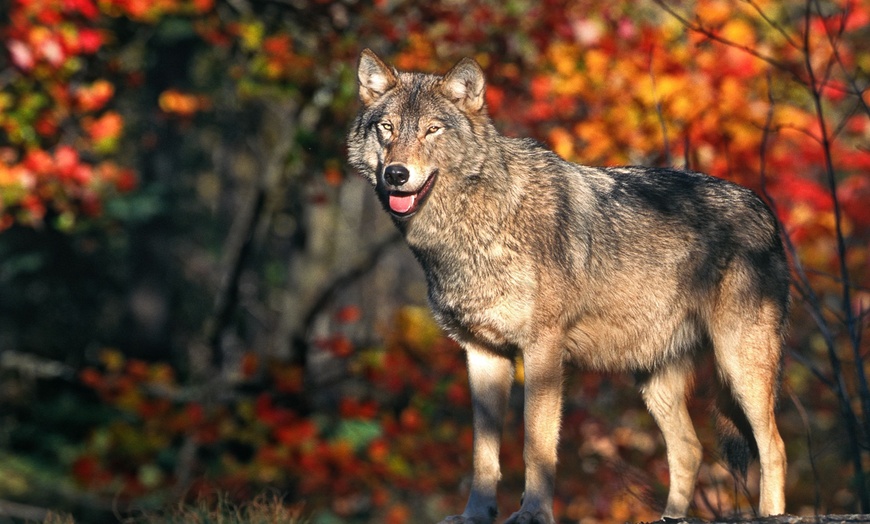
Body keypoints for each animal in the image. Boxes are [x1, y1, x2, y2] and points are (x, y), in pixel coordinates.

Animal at [346, 47, 792, 520]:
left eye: (432, 130)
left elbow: (537, 446)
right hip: (655, 378)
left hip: (739, 365)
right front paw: (475, 514)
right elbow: (483, 453)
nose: (396, 174)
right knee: (689, 450)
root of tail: (765, 209)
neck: (473, 226)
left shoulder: (543, 348)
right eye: (386, 128)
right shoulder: (483, 353)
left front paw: (533, 513)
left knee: (773, 446)